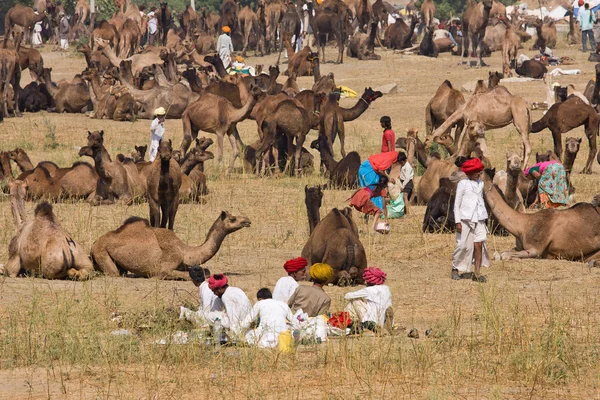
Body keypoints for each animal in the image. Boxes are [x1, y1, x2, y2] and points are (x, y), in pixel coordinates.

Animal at [90, 211, 250, 280]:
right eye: (233, 219)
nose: (247, 220)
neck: (184, 251)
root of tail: (94, 244)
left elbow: (206, 270)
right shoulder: (165, 267)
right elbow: (187, 275)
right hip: (101, 252)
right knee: (112, 272)